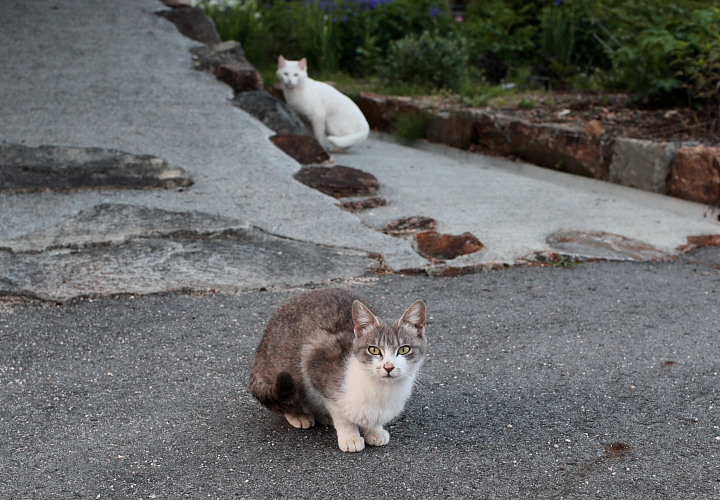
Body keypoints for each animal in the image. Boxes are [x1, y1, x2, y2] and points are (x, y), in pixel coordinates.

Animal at [250, 288, 424, 452]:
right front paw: (350, 437)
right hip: (286, 369)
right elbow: (340, 413)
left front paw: (374, 430)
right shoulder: (314, 355)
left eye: (404, 349)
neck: (382, 390)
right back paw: (299, 414)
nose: (388, 367)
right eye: (374, 350)